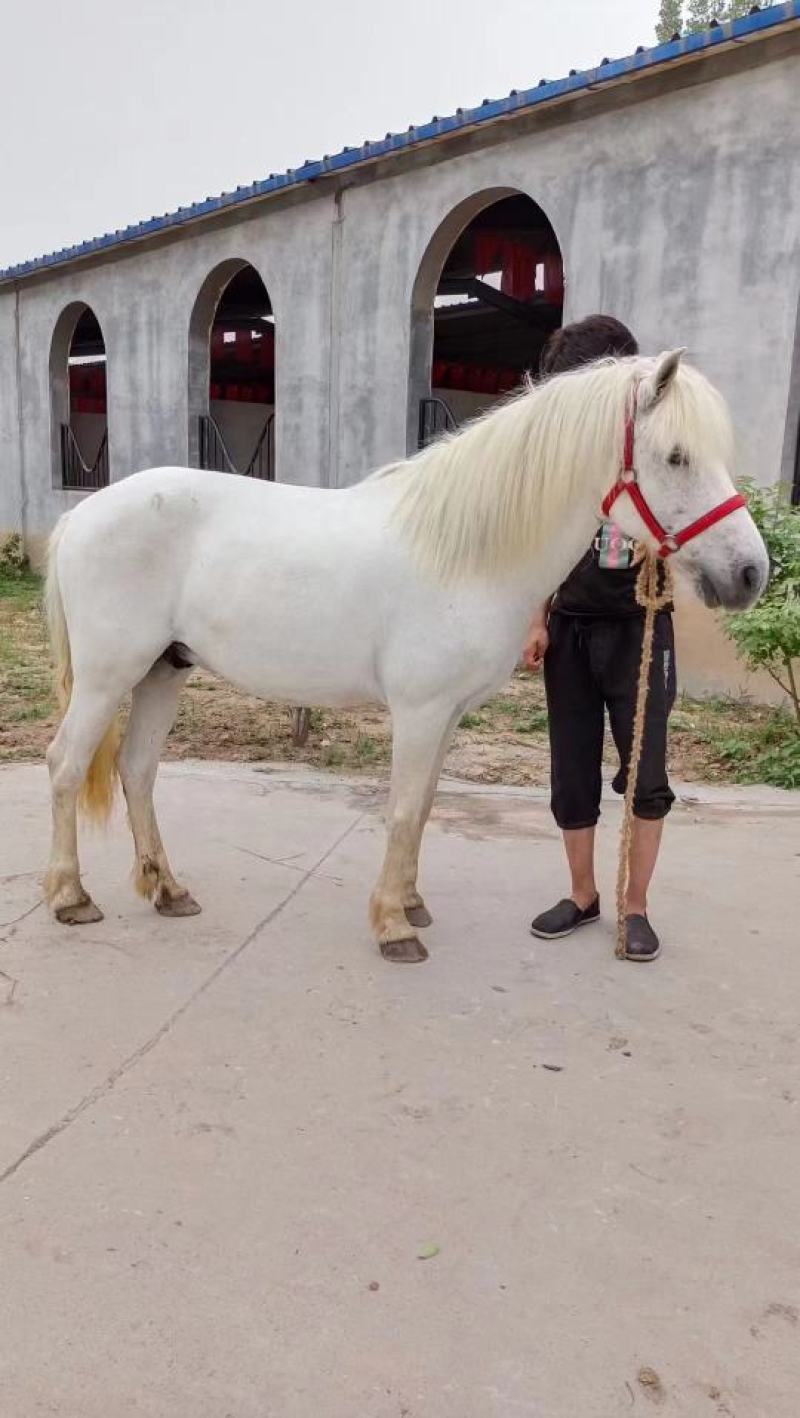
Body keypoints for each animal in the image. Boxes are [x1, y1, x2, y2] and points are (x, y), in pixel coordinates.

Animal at [43, 350, 768, 962]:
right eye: (675, 456)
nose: (750, 573)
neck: (467, 552)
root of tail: (82, 515)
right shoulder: (419, 711)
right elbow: (400, 808)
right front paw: (393, 926)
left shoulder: (447, 714)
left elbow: (422, 809)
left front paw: (412, 904)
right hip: (110, 677)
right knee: (66, 764)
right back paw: (71, 897)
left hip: (164, 670)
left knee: (137, 771)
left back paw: (167, 890)